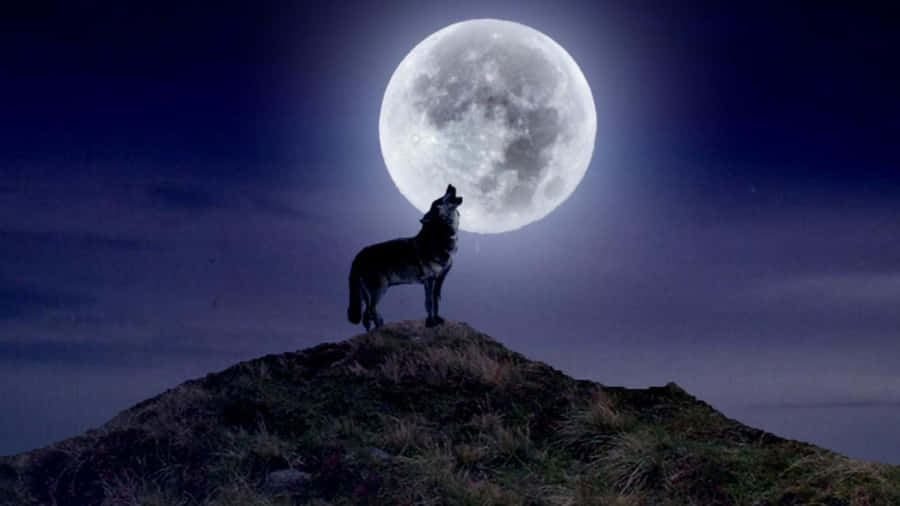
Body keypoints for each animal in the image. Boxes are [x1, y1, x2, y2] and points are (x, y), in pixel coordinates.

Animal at [347, 184, 463, 330]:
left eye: (441, 197)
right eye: (440, 201)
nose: (450, 185)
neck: (439, 238)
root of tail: (358, 255)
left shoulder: (440, 280)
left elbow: (436, 301)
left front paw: (437, 319)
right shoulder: (429, 280)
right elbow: (429, 303)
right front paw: (430, 322)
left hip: (369, 294)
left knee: (367, 316)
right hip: (380, 289)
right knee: (370, 312)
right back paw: (379, 329)